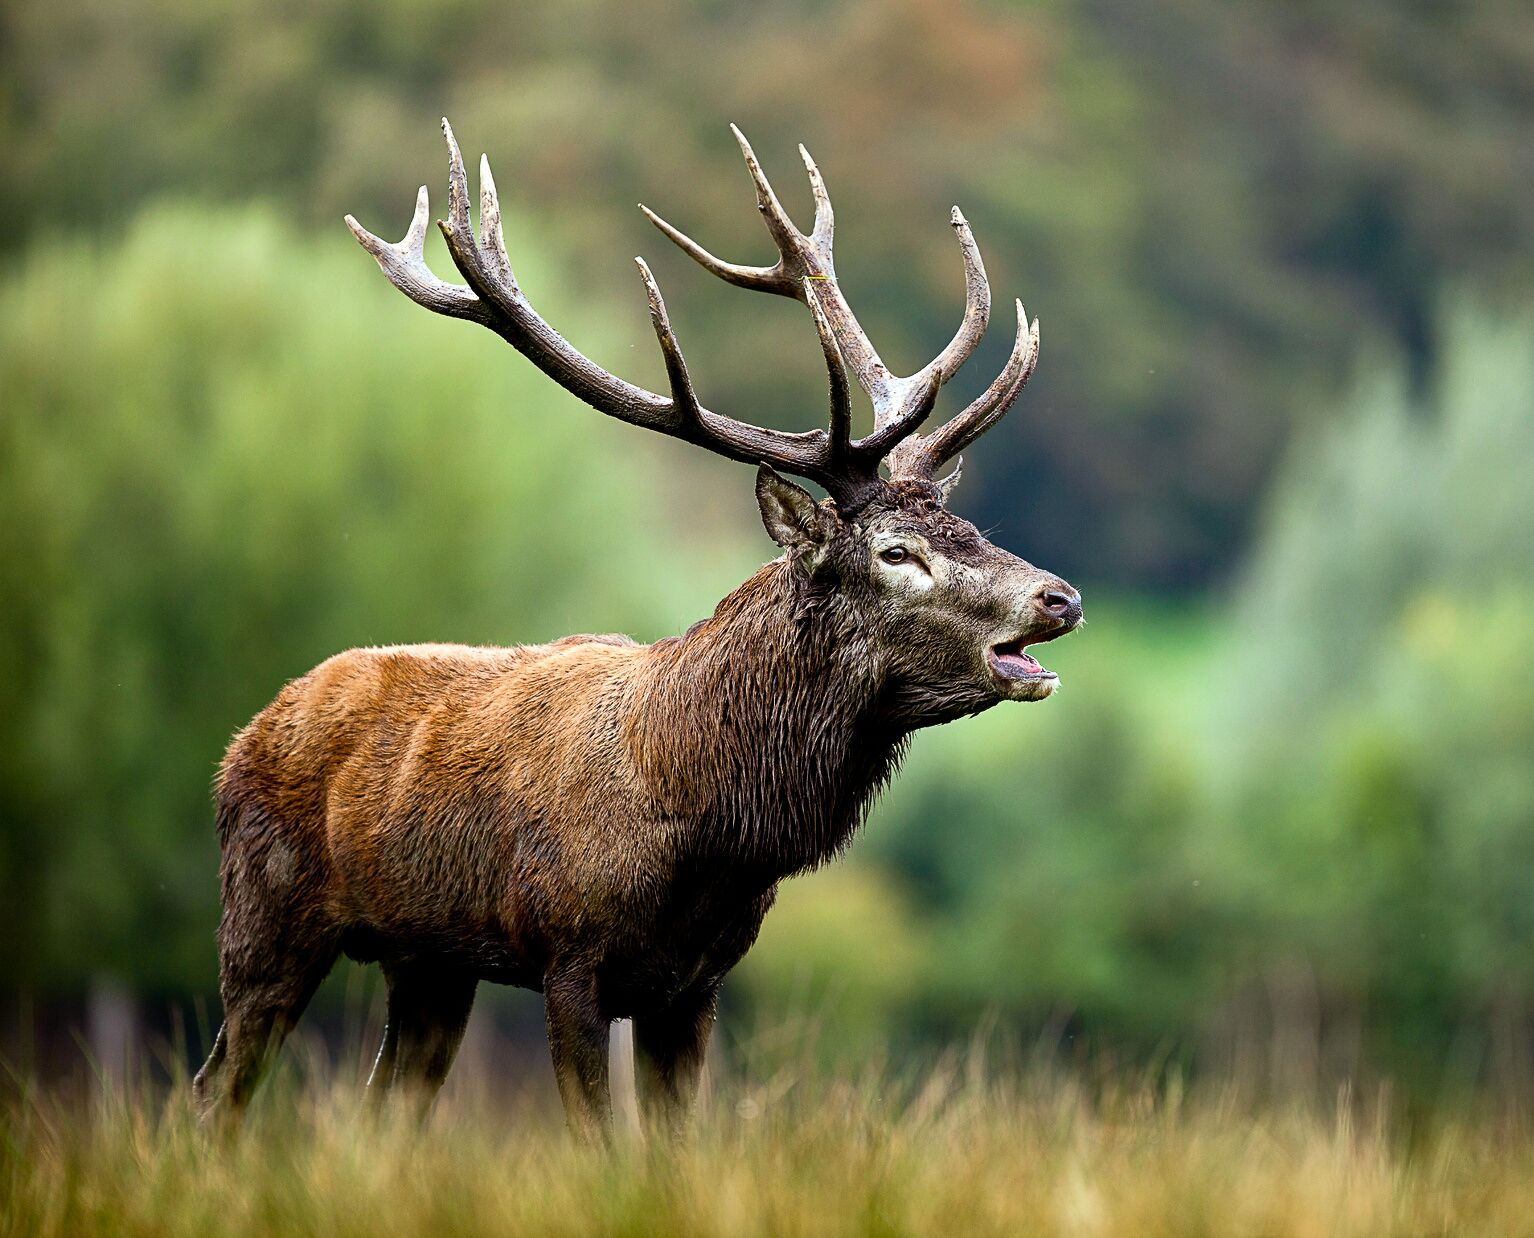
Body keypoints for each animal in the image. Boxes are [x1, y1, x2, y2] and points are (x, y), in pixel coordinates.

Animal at [191, 119, 1083, 1140]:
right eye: (898, 551)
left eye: (967, 526)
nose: (1059, 598)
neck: (706, 826)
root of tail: (247, 736)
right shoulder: (567, 955)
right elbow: (594, 1140)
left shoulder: (694, 984)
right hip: (265, 912)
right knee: (217, 1087)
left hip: (429, 961)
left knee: (385, 1106)